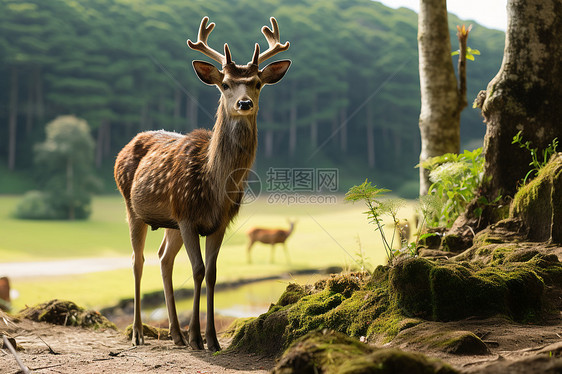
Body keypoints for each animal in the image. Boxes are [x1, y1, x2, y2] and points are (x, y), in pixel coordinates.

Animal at [112, 16, 290, 352]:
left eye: (257, 83)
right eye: (225, 84)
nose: (244, 103)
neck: (213, 184)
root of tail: (123, 148)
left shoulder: (219, 222)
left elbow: (213, 273)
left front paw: (212, 340)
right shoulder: (187, 215)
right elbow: (197, 270)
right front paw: (197, 337)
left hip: (169, 222)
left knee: (164, 258)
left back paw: (176, 334)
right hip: (133, 207)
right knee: (137, 260)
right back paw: (139, 332)